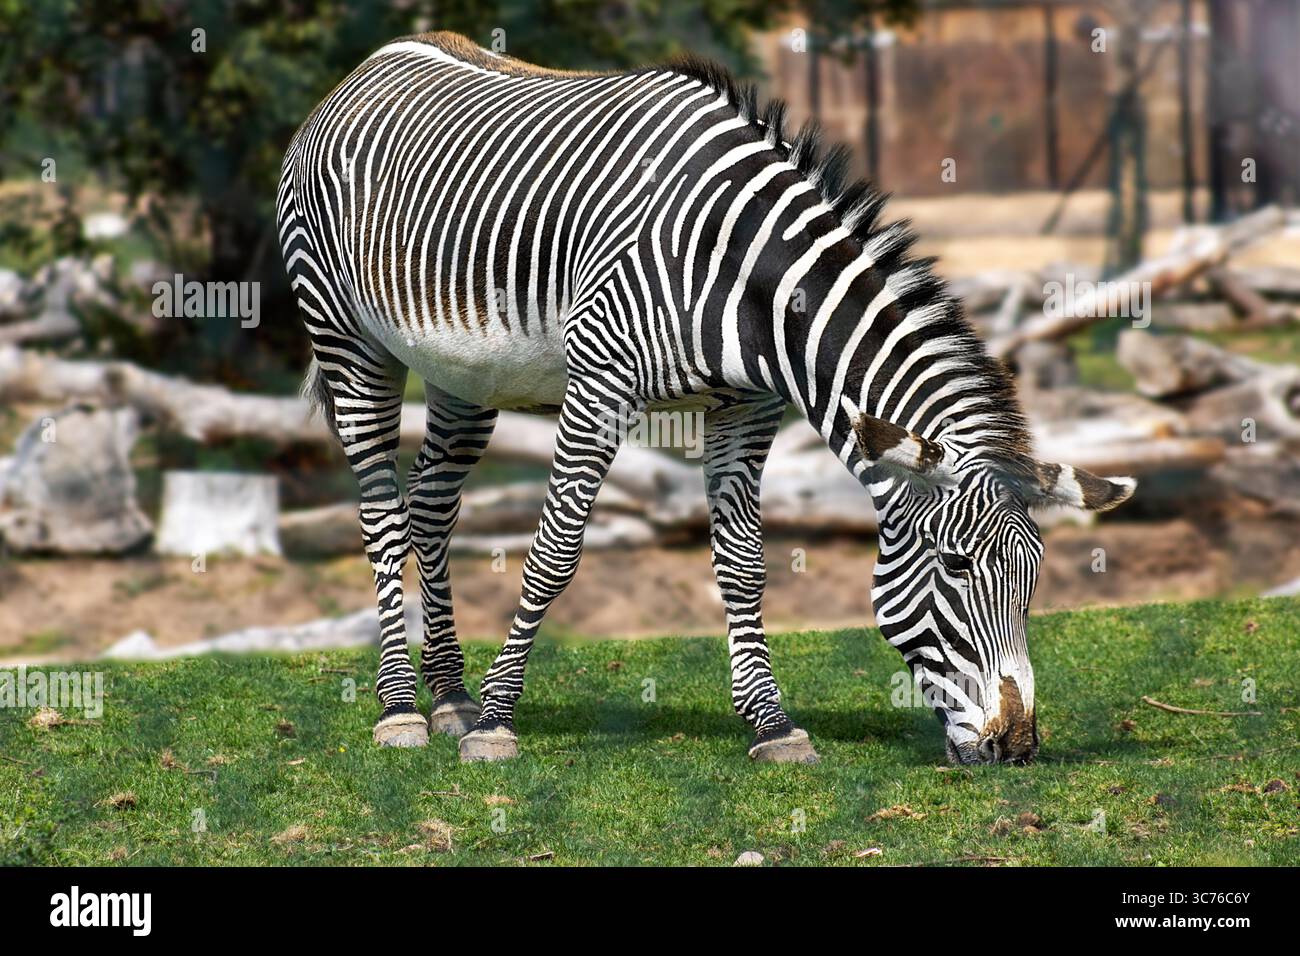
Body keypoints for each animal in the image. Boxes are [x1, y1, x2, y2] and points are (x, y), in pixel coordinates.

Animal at [277, 32, 1136, 765]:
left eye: (1034, 575)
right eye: (956, 567)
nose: (1016, 746)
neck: (749, 279)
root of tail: (371, 62)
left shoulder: (745, 407)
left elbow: (744, 564)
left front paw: (772, 724)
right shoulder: (600, 383)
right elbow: (554, 553)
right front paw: (496, 723)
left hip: (464, 374)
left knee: (431, 509)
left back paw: (448, 696)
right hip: (348, 337)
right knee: (381, 512)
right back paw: (402, 709)